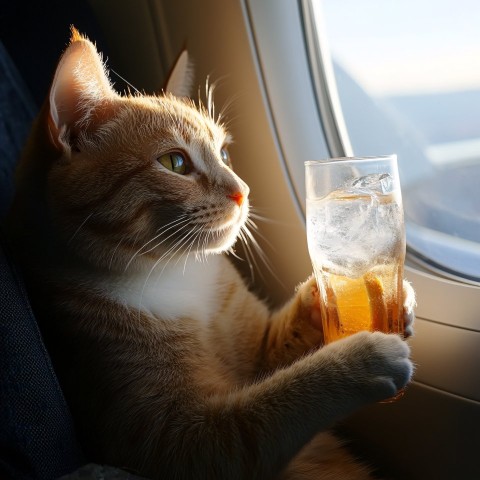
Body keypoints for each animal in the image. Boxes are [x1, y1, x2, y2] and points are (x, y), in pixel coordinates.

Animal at [5, 30, 414, 480]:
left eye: (225, 155)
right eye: (175, 162)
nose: (243, 191)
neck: (176, 277)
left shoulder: (260, 352)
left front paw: (383, 298)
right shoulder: (178, 440)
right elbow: (262, 413)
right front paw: (360, 358)